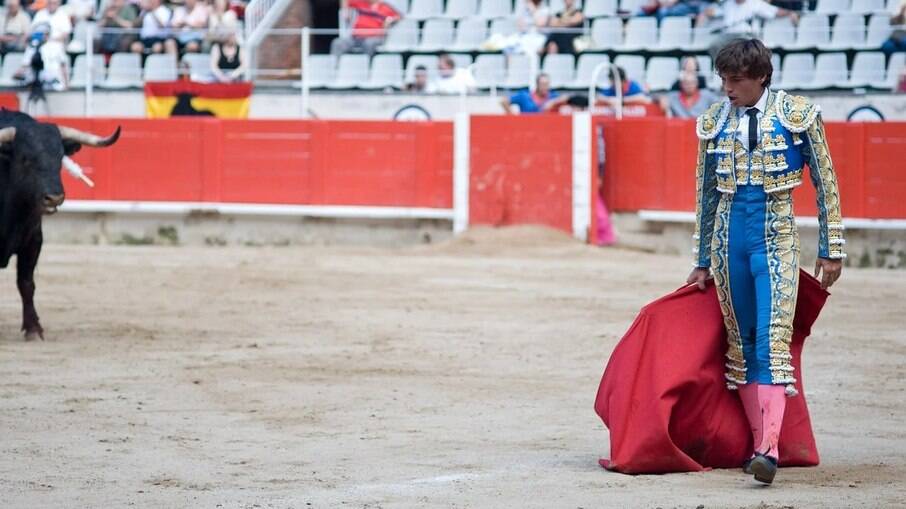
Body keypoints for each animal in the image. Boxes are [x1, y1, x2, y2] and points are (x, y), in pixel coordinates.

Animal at [0, 111, 120, 342]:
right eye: (25, 158)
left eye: (59, 158)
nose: (54, 197)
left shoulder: (33, 240)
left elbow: (26, 283)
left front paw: (33, 329)